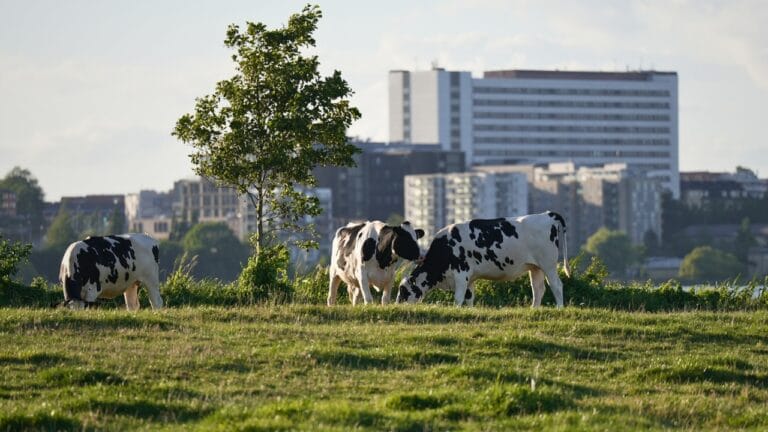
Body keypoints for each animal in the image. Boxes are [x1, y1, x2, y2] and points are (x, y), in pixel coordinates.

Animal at [396, 211, 569, 308]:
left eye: (403, 290)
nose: (397, 304)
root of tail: (547, 214)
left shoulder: (461, 273)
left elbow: (458, 298)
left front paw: (456, 310)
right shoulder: (470, 278)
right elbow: (469, 297)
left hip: (548, 264)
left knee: (557, 285)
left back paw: (559, 308)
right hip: (535, 267)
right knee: (538, 289)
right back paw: (534, 309)